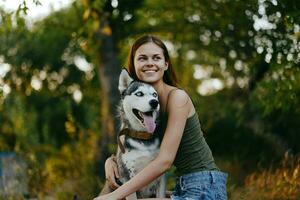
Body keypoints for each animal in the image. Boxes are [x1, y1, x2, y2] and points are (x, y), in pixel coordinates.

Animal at [115, 69, 166, 198]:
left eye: (155, 95)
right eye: (139, 94)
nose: (154, 102)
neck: (143, 136)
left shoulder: (161, 174)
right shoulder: (128, 177)